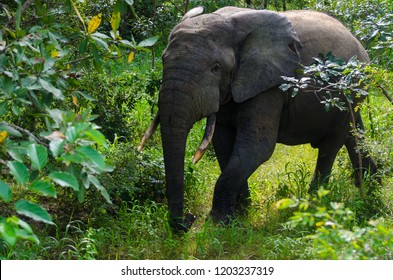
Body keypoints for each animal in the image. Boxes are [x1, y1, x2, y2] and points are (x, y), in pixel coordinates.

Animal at [137, 7, 376, 232]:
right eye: (163, 61)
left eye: (215, 68)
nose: (189, 219)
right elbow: (223, 145)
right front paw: (240, 214)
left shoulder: (269, 83)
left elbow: (257, 147)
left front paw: (217, 223)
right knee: (354, 135)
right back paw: (371, 184)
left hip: (348, 91)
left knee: (330, 144)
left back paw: (316, 202)